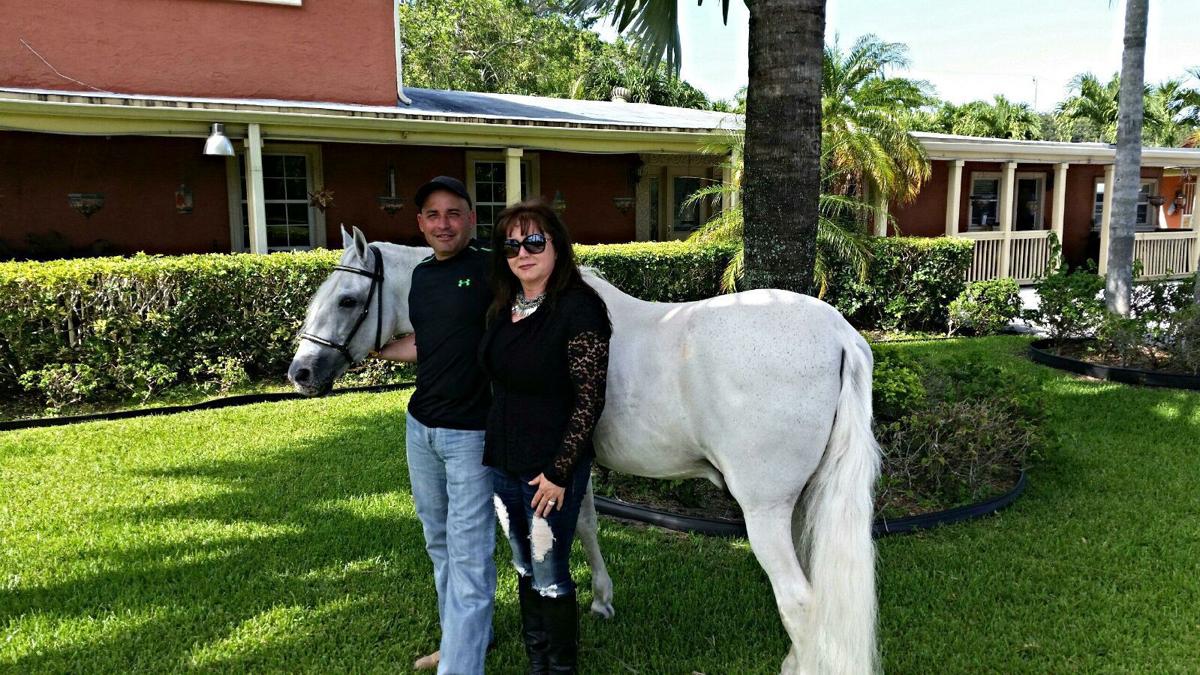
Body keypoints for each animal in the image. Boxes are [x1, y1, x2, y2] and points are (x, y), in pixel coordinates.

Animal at [285, 227, 878, 672]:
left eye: (347, 300)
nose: (300, 373)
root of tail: (839, 334)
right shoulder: (576, 464)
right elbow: (588, 525)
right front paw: (601, 599)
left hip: (764, 509)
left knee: (799, 599)